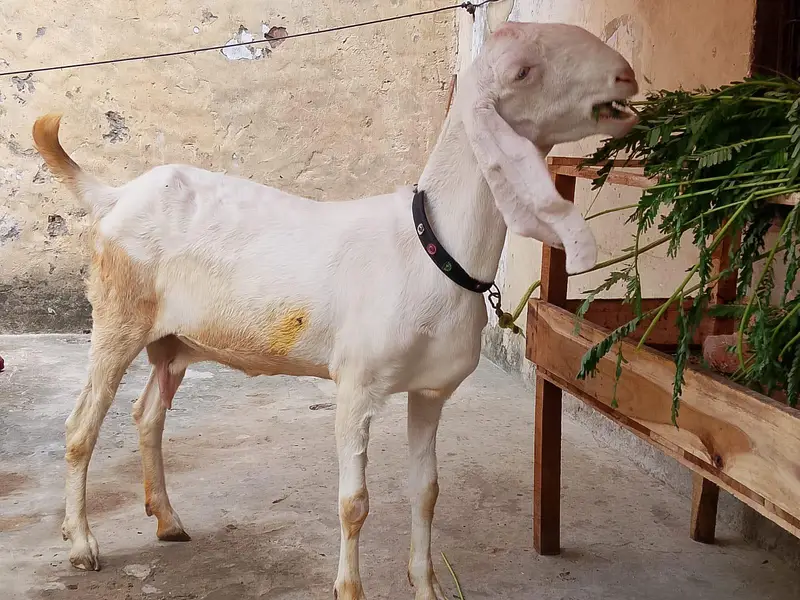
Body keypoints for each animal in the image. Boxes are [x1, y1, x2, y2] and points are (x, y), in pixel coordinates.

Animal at [33, 21, 638, 600]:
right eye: (523, 71)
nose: (627, 77)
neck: (430, 245)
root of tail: (114, 197)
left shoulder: (430, 391)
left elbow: (426, 493)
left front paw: (429, 587)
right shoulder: (356, 384)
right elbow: (354, 503)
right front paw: (350, 589)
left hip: (174, 340)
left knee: (148, 415)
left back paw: (167, 520)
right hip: (118, 314)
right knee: (81, 427)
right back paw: (81, 543)